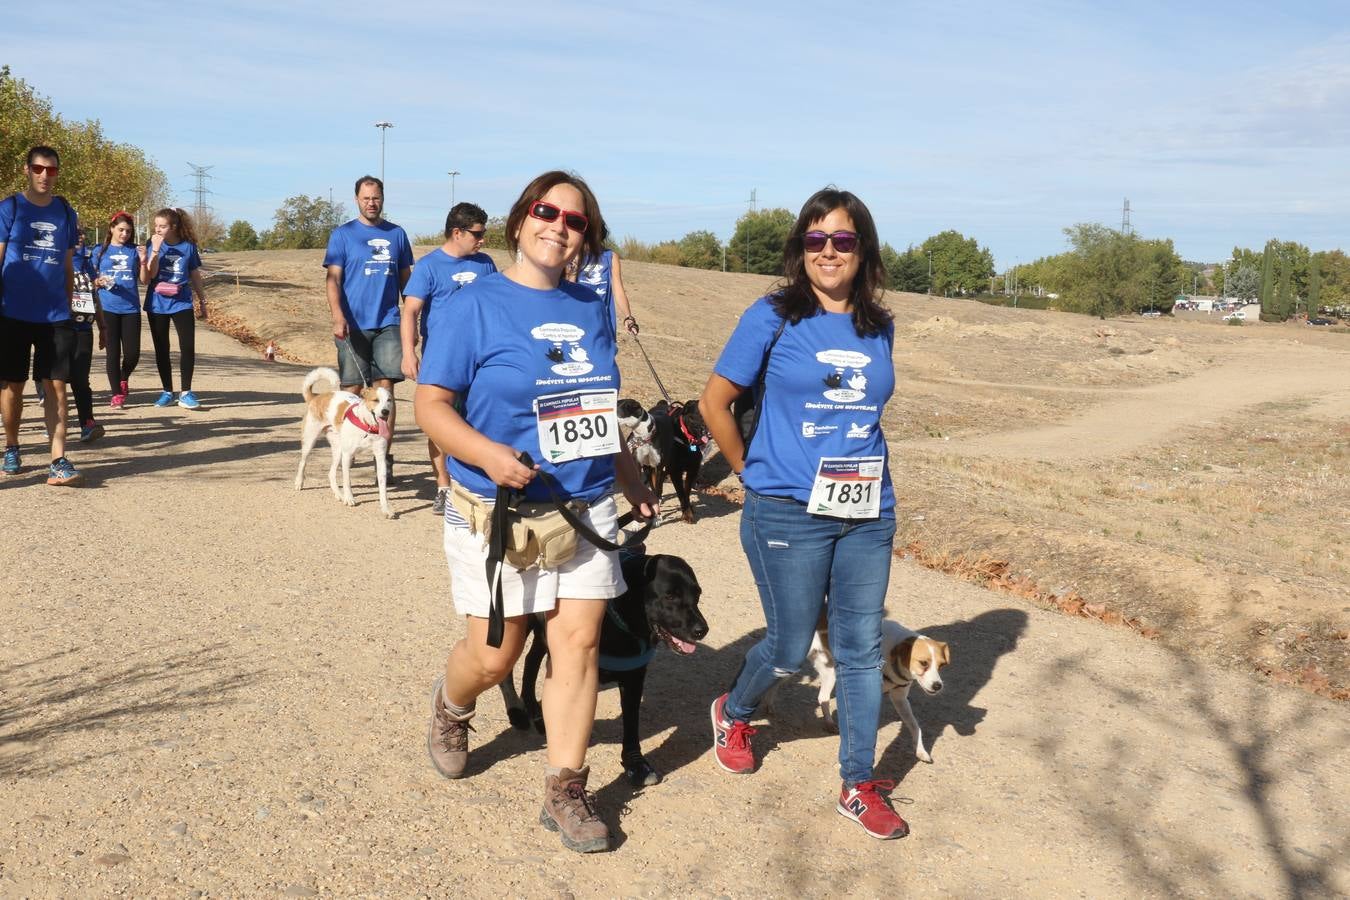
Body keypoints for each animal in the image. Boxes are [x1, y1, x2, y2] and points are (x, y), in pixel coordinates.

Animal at [297, 367, 394, 520]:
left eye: (389, 400)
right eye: (376, 400)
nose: (385, 412)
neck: (367, 427)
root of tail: (316, 397)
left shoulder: (380, 457)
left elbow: (383, 488)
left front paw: (386, 509)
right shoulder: (348, 455)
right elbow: (347, 480)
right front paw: (349, 498)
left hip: (338, 450)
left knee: (331, 473)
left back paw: (339, 495)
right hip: (310, 441)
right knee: (303, 462)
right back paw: (299, 482)